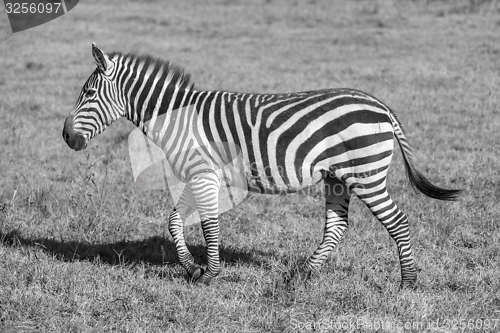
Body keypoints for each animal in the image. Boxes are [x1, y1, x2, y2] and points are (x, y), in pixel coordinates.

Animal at [62, 43, 460, 288]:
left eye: (89, 94)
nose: (66, 137)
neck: (179, 117)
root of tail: (379, 105)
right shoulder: (196, 173)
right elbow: (175, 222)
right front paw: (192, 268)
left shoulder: (204, 174)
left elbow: (208, 225)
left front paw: (211, 273)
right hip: (336, 178)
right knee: (337, 226)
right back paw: (301, 275)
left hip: (365, 174)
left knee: (398, 221)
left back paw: (407, 283)